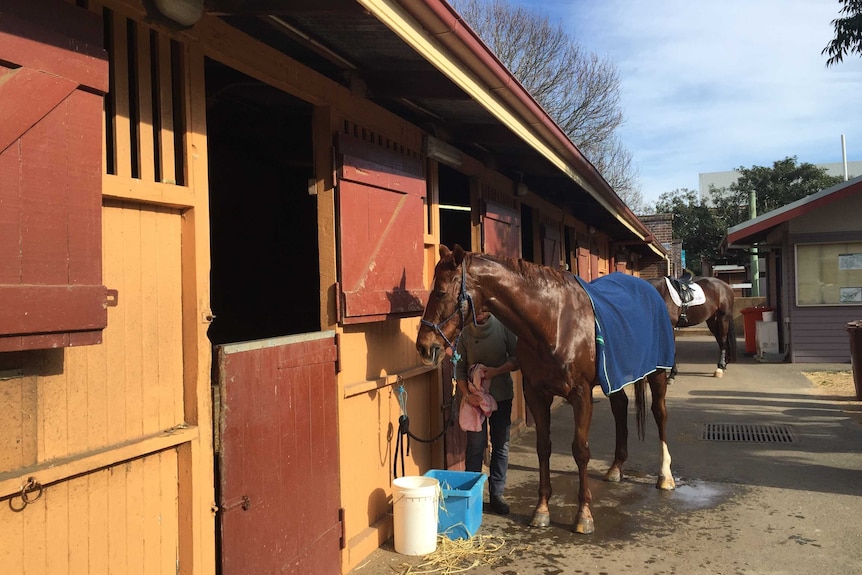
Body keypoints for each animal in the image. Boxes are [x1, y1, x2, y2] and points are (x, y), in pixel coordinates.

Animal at [416, 244, 680, 536]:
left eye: (441, 292)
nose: (424, 347)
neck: (555, 323)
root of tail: (650, 289)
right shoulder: (536, 395)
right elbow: (543, 447)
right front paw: (541, 510)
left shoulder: (581, 396)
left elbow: (580, 450)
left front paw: (583, 515)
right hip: (615, 376)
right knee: (620, 407)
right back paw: (615, 468)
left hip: (657, 372)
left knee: (660, 413)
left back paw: (665, 476)